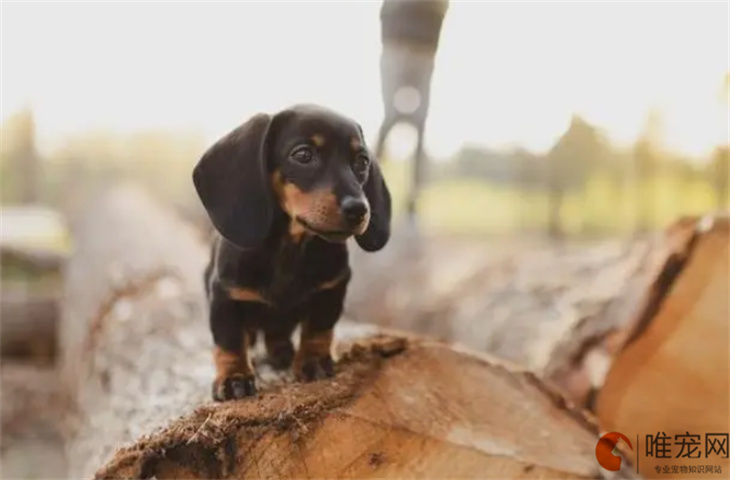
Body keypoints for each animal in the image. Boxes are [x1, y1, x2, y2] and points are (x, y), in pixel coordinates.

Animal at [191, 105, 390, 402]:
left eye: (362, 161)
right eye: (303, 155)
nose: (359, 210)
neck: (291, 247)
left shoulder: (331, 290)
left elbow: (319, 329)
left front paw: (314, 361)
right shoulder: (225, 296)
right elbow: (229, 341)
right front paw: (234, 377)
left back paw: (282, 351)